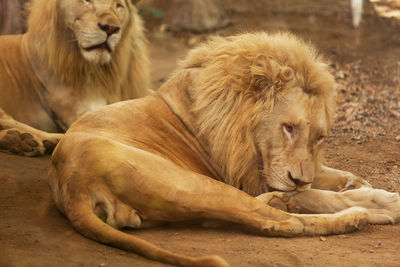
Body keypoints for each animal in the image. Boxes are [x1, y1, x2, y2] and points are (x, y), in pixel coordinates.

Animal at [47, 33, 400, 267]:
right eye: (289, 128)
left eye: (319, 138)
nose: (298, 180)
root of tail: (70, 185)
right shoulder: (242, 176)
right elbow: (318, 194)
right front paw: (383, 202)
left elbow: (325, 178)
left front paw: (359, 185)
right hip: (194, 184)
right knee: (280, 223)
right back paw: (360, 217)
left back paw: (285, 200)